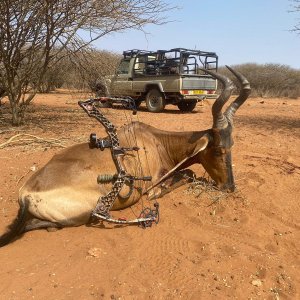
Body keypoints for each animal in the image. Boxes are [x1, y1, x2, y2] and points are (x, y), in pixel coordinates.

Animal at [0, 67, 251, 246]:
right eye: (218, 150)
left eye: (232, 145)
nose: (229, 187)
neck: (153, 140)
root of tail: (27, 193)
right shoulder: (153, 183)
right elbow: (187, 173)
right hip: (89, 210)